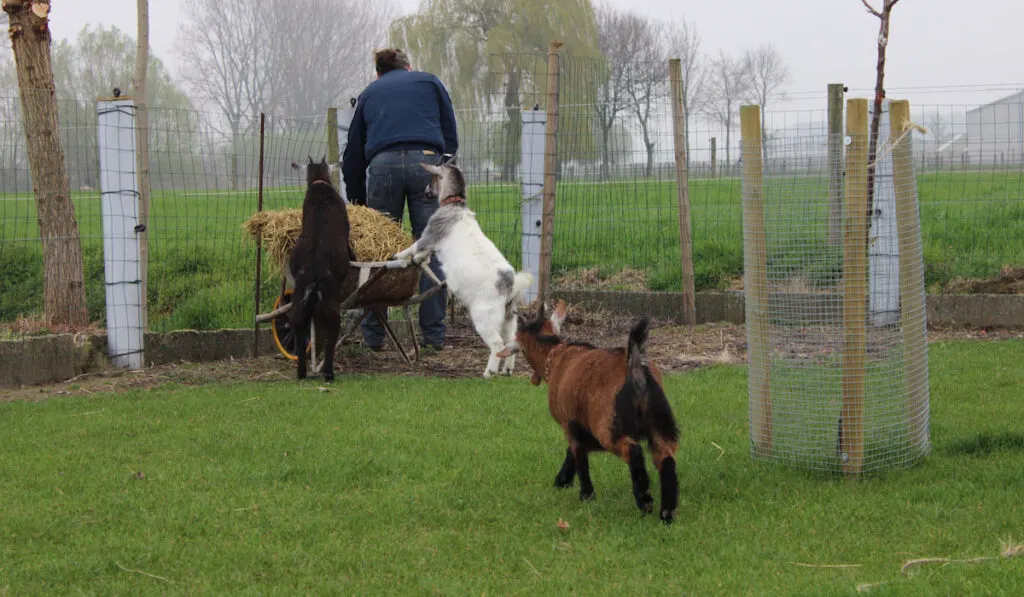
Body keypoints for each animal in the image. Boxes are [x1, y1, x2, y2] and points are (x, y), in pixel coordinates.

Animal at [288, 156, 352, 382]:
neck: (319, 184)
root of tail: (314, 278)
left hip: (298, 305)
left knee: (299, 336)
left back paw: (301, 373)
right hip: (332, 307)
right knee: (331, 340)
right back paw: (329, 373)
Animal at [391, 158, 532, 378]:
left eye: (432, 178)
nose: (425, 192)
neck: (454, 206)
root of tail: (511, 285)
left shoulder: (430, 235)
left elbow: (415, 247)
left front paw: (397, 256)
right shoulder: (431, 245)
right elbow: (423, 254)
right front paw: (416, 260)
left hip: (485, 316)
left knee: (497, 344)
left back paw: (489, 372)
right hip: (509, 317)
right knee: (511, 341)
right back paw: (507, 370)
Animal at [512, 299, 679, 524]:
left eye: (522, 349)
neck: (556, 355)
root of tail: (635, 369)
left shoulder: (569, 423)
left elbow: (578, 453)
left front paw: (585, 494)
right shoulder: (579, 424)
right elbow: (573, 451)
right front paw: (563, 481)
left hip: (608, 428)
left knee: (633, 451)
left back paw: (644, 500)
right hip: (658, 425)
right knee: (666, 459)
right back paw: (666, 513)